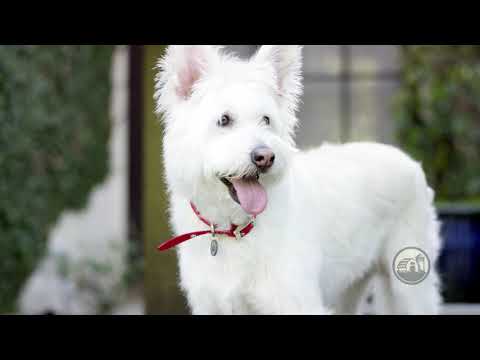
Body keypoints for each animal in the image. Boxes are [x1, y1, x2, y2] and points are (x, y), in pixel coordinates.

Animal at [154, 45, 442, 316]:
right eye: (224, 120)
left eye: (266, 119)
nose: (265, 157)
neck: (234, 229)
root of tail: (408, 160)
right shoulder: (211, 305)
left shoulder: (297, 303)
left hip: (409, 287)